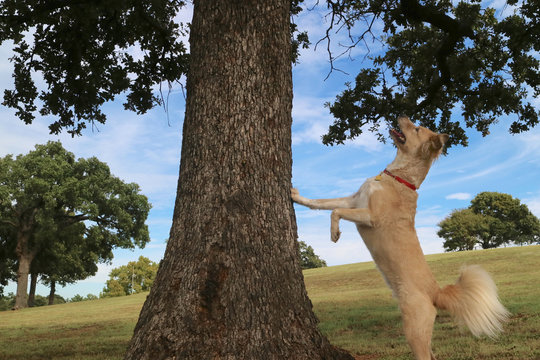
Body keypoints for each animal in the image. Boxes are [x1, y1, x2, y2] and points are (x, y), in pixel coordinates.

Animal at [292, 116, 506, 360]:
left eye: (416, 128)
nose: (401, 116)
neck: (397, 178)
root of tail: (436, 293)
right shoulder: (353, 201)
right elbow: (321, 203)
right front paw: (296, 196)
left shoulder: (370, 216)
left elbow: (334, 211)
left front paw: (334, 233)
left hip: (414, 330)